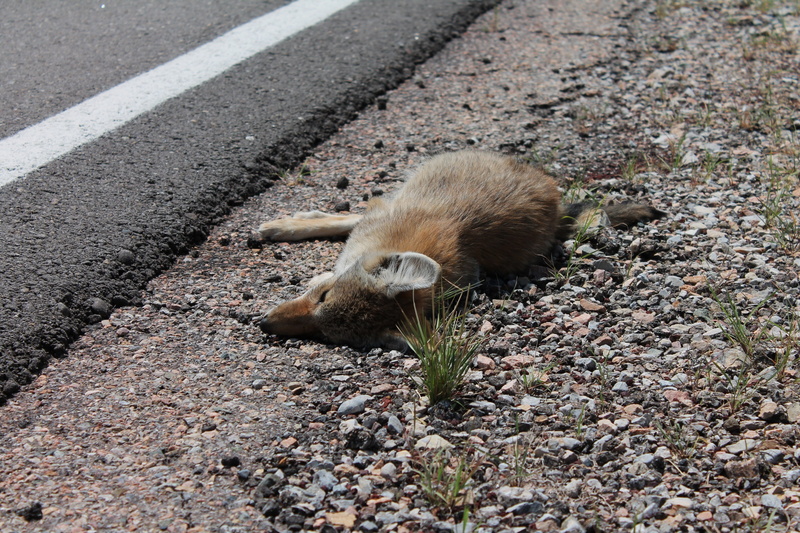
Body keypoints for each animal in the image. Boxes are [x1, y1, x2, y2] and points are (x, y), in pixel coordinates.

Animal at [257, 150, 663, 348]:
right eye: (323, 296)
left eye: (325, 335)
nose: (263, 324)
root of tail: (555, 199)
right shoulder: (377, 213)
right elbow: (340, 220)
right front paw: (289, 226)